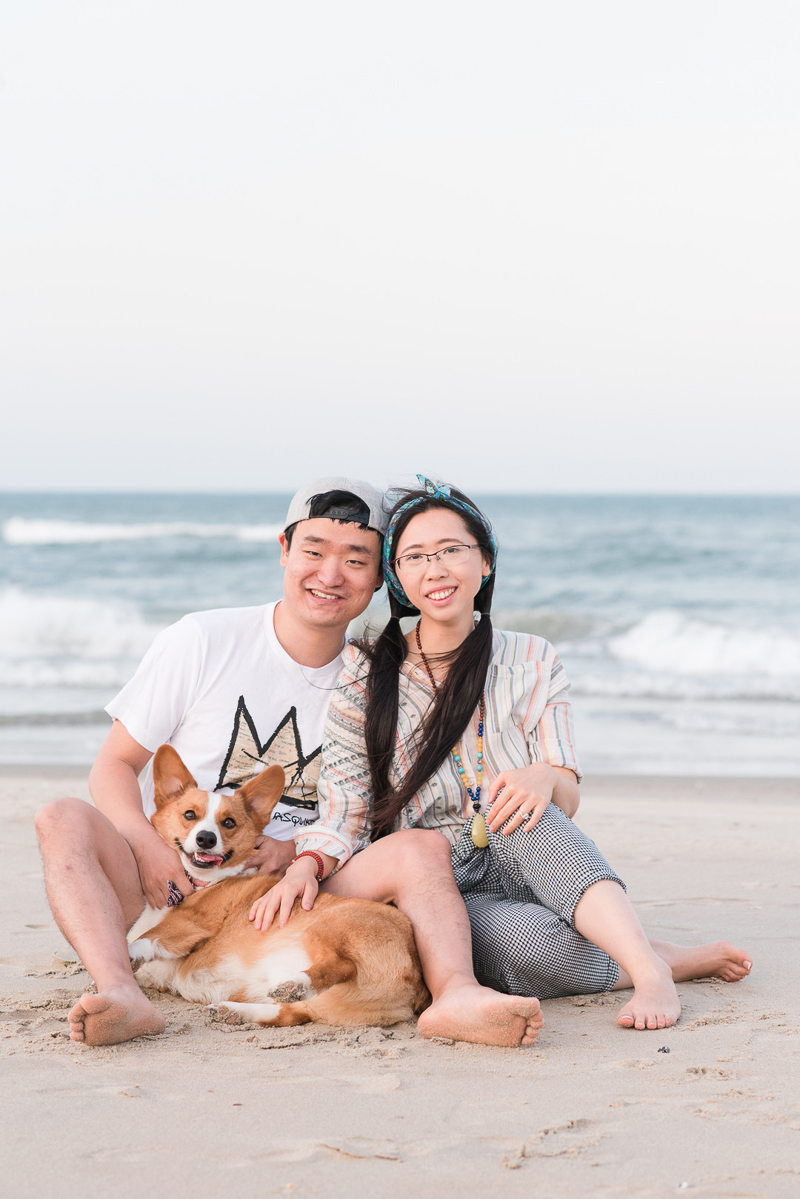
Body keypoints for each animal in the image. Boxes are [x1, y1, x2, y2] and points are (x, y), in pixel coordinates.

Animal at [127, 745, 428, 1028]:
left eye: (229, 822)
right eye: (189, 815)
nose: (206, 839)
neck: (200, 882)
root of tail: (416, 976)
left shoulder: (193, 923)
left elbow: (148, 937)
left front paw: (130, 952)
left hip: (325, 927)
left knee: (341, 965)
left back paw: (295, 984)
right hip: (320, 1004)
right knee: (289, 1014)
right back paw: (233, 1011)